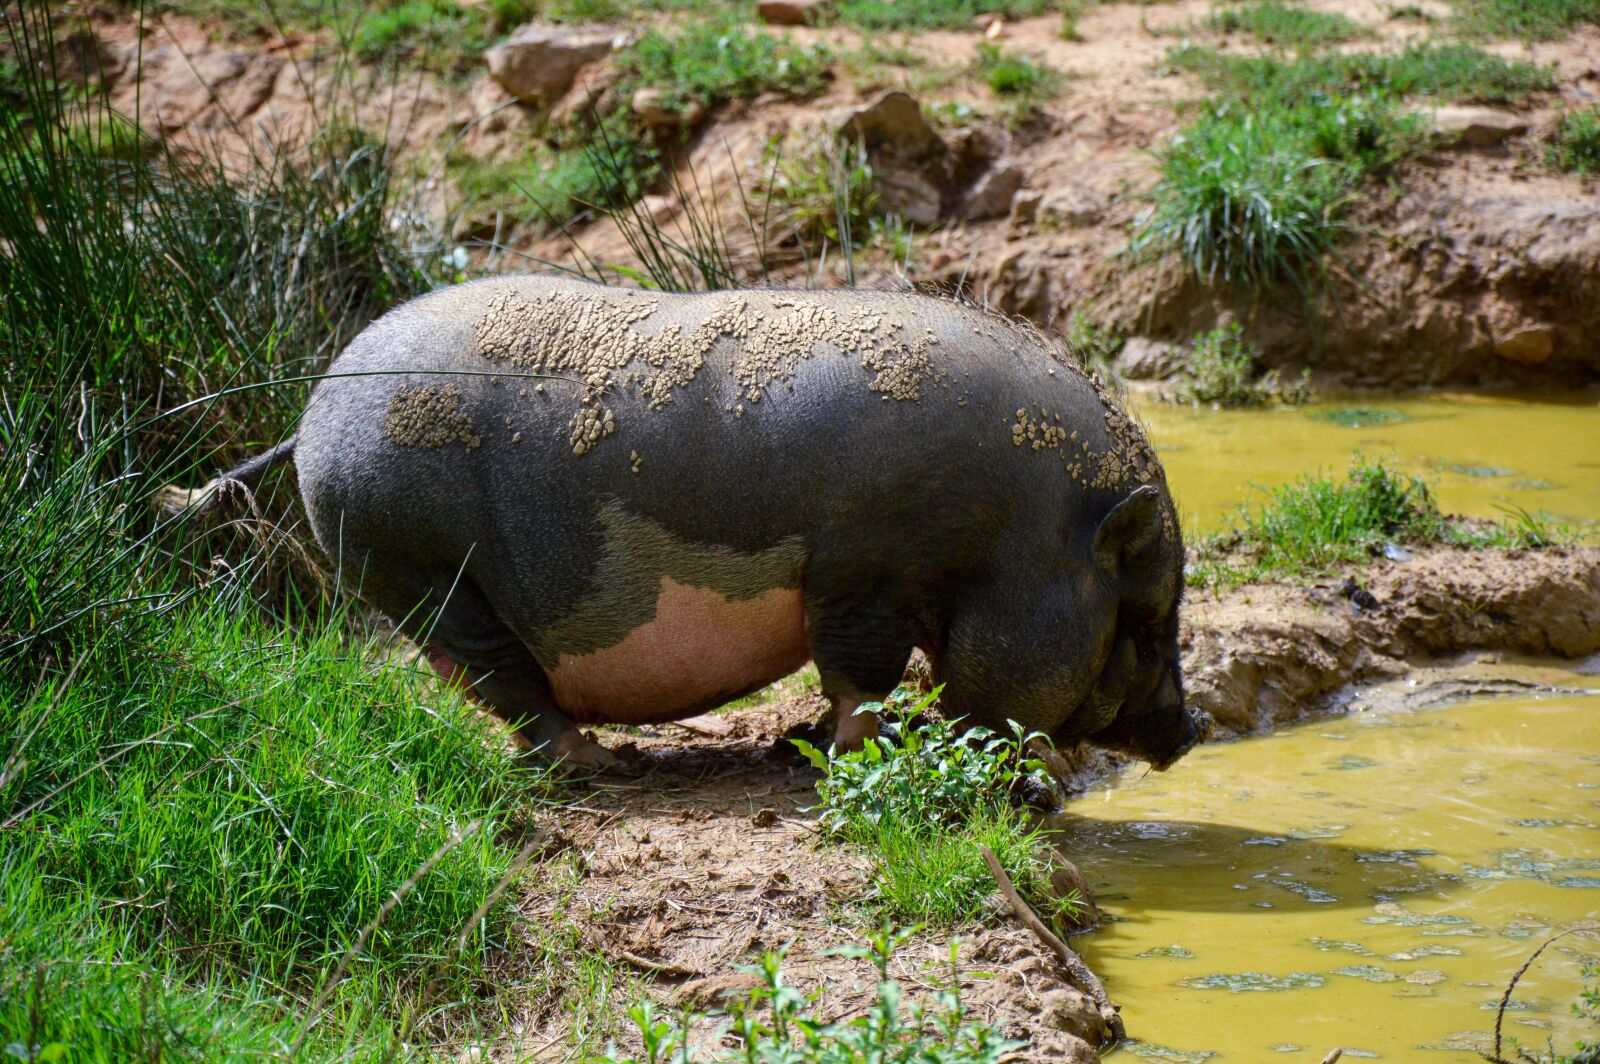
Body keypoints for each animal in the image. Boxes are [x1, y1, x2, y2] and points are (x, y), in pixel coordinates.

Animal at [167, 276, 1206, 771]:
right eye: (1148, 616)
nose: (1189, 734)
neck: (1014, 538)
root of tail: (315, 408)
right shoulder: (860, 575)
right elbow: (860, 676)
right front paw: (855, 753)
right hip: (420, 567)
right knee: (504, 682)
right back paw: (602, 764)